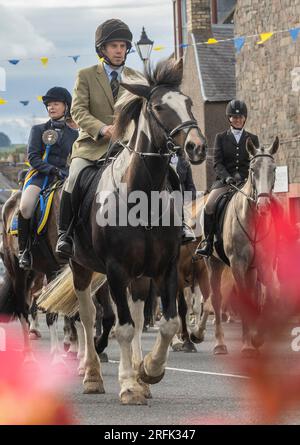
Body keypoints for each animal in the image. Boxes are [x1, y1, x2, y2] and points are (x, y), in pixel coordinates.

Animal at [38, 57, 206, 404]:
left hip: (140, 276)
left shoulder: (165, 268)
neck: (142, 195)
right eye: (158, 106)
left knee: (139, 317)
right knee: (88, 315)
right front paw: (128, 384)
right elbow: (123, 327)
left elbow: (167, 323)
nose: (197, 146)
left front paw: (149, 372)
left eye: (188, 102)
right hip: (80, 267)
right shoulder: (116, 270)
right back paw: (91, 375)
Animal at [205, 137, 280, 356]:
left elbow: (267, 296)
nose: (263, 206)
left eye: (273, 169)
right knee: (216, 299)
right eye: (253, 169)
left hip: (250, 269)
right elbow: (244, 298)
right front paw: (248, 343)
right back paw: (220, 344)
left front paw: (257, 337)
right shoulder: (238, 264)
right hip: (213, 264)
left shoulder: (264, 264)